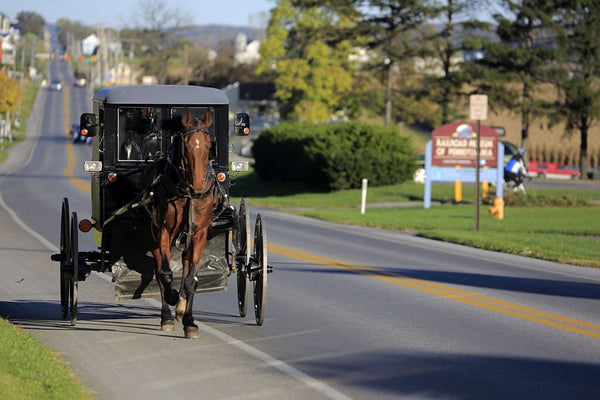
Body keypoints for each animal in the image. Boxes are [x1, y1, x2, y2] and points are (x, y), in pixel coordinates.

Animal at [142, 108, 214, 338]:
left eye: (209, 146)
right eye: (187, 145)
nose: (198, 186)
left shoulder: (199, 233)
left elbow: (192, 279)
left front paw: (189, 321)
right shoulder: (163, 230)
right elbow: (165, 274)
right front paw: (173, 297)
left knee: (185, 263)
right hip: (153, 234)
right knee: (159, 271)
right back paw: (167, 315)